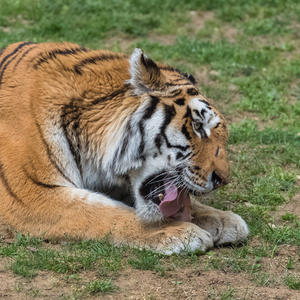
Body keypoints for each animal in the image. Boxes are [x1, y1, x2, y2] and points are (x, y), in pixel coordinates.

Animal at [0, 41, 248, 253]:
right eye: (197, 126)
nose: (222, 180)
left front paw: (225, 219)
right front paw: (180, 232)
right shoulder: (30, 196)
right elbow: (104, 212)